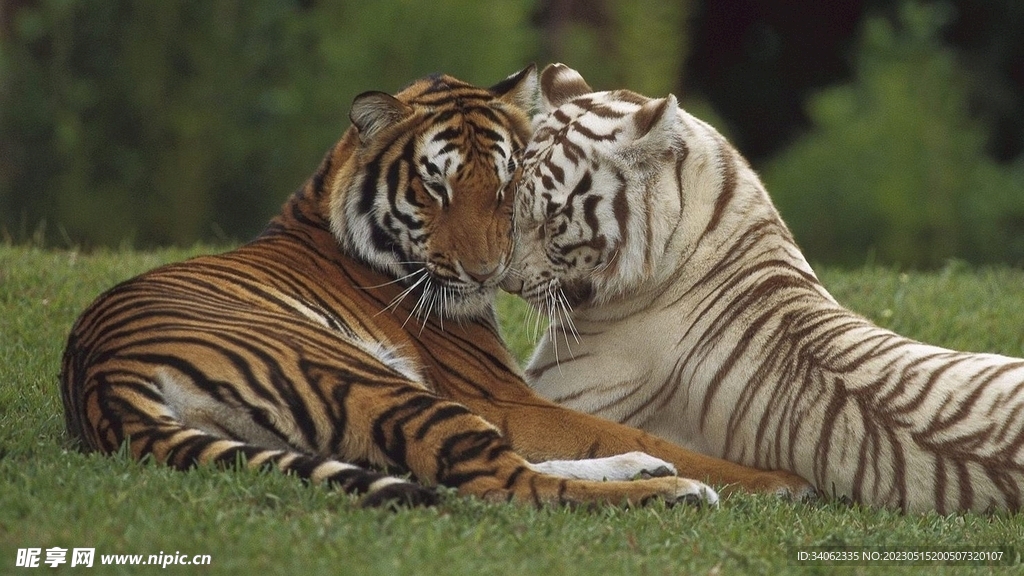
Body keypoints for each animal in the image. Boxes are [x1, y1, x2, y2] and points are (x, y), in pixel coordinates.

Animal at [60, 65, 810, 509]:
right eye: (435, 188)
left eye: (505, 186)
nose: (487, 273)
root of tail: (101, 379)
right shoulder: (499, 396)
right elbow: (615, 430)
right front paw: (775, 481)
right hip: (373, 381)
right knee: (505, 481)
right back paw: (679, 490)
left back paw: (651, 474)